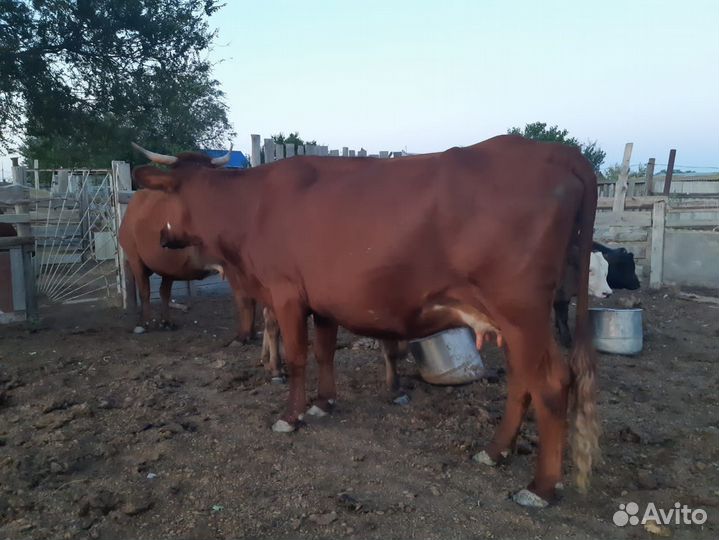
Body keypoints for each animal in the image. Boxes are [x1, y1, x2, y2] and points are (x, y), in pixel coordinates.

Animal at [132, 135, 600, 508]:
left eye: (166, 197)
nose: (162, 237)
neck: (250, 210)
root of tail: (556, 151)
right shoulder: (322, 301)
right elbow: (324, 353)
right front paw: (323, 403)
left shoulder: (285, 293)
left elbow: (298, 357)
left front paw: (292, 415)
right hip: (511, 322)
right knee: (523, 381)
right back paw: (496, 450)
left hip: (522, 313)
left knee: (551, 384)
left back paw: (540, 488)